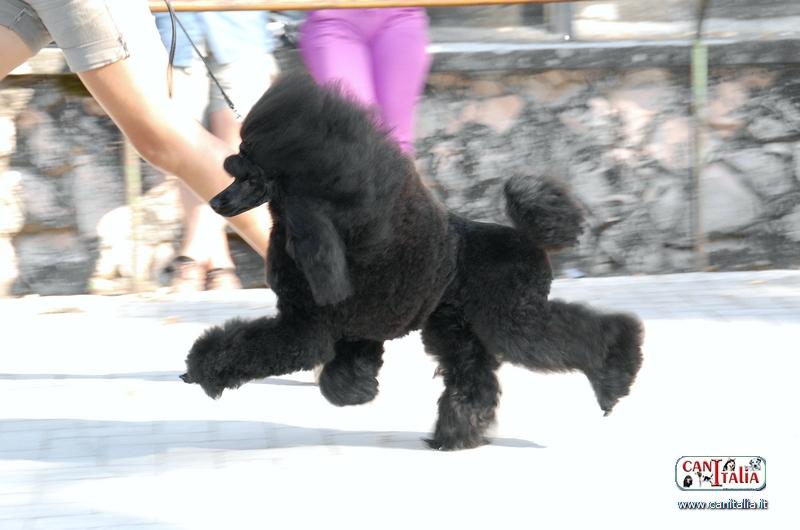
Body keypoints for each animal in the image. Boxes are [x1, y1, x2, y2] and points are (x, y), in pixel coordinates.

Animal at [181, 71, 644, 450]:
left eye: (251, 173)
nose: (218, 201)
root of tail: (531, 240)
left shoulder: (308, 325)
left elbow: (250, 346)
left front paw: (201, 369)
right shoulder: (355, 328)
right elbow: (344, 374)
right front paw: (358, 391)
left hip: (512, 317)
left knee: (573, 336)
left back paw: (614, 377)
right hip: (456, 324)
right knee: (472, 375)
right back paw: (456, 436)